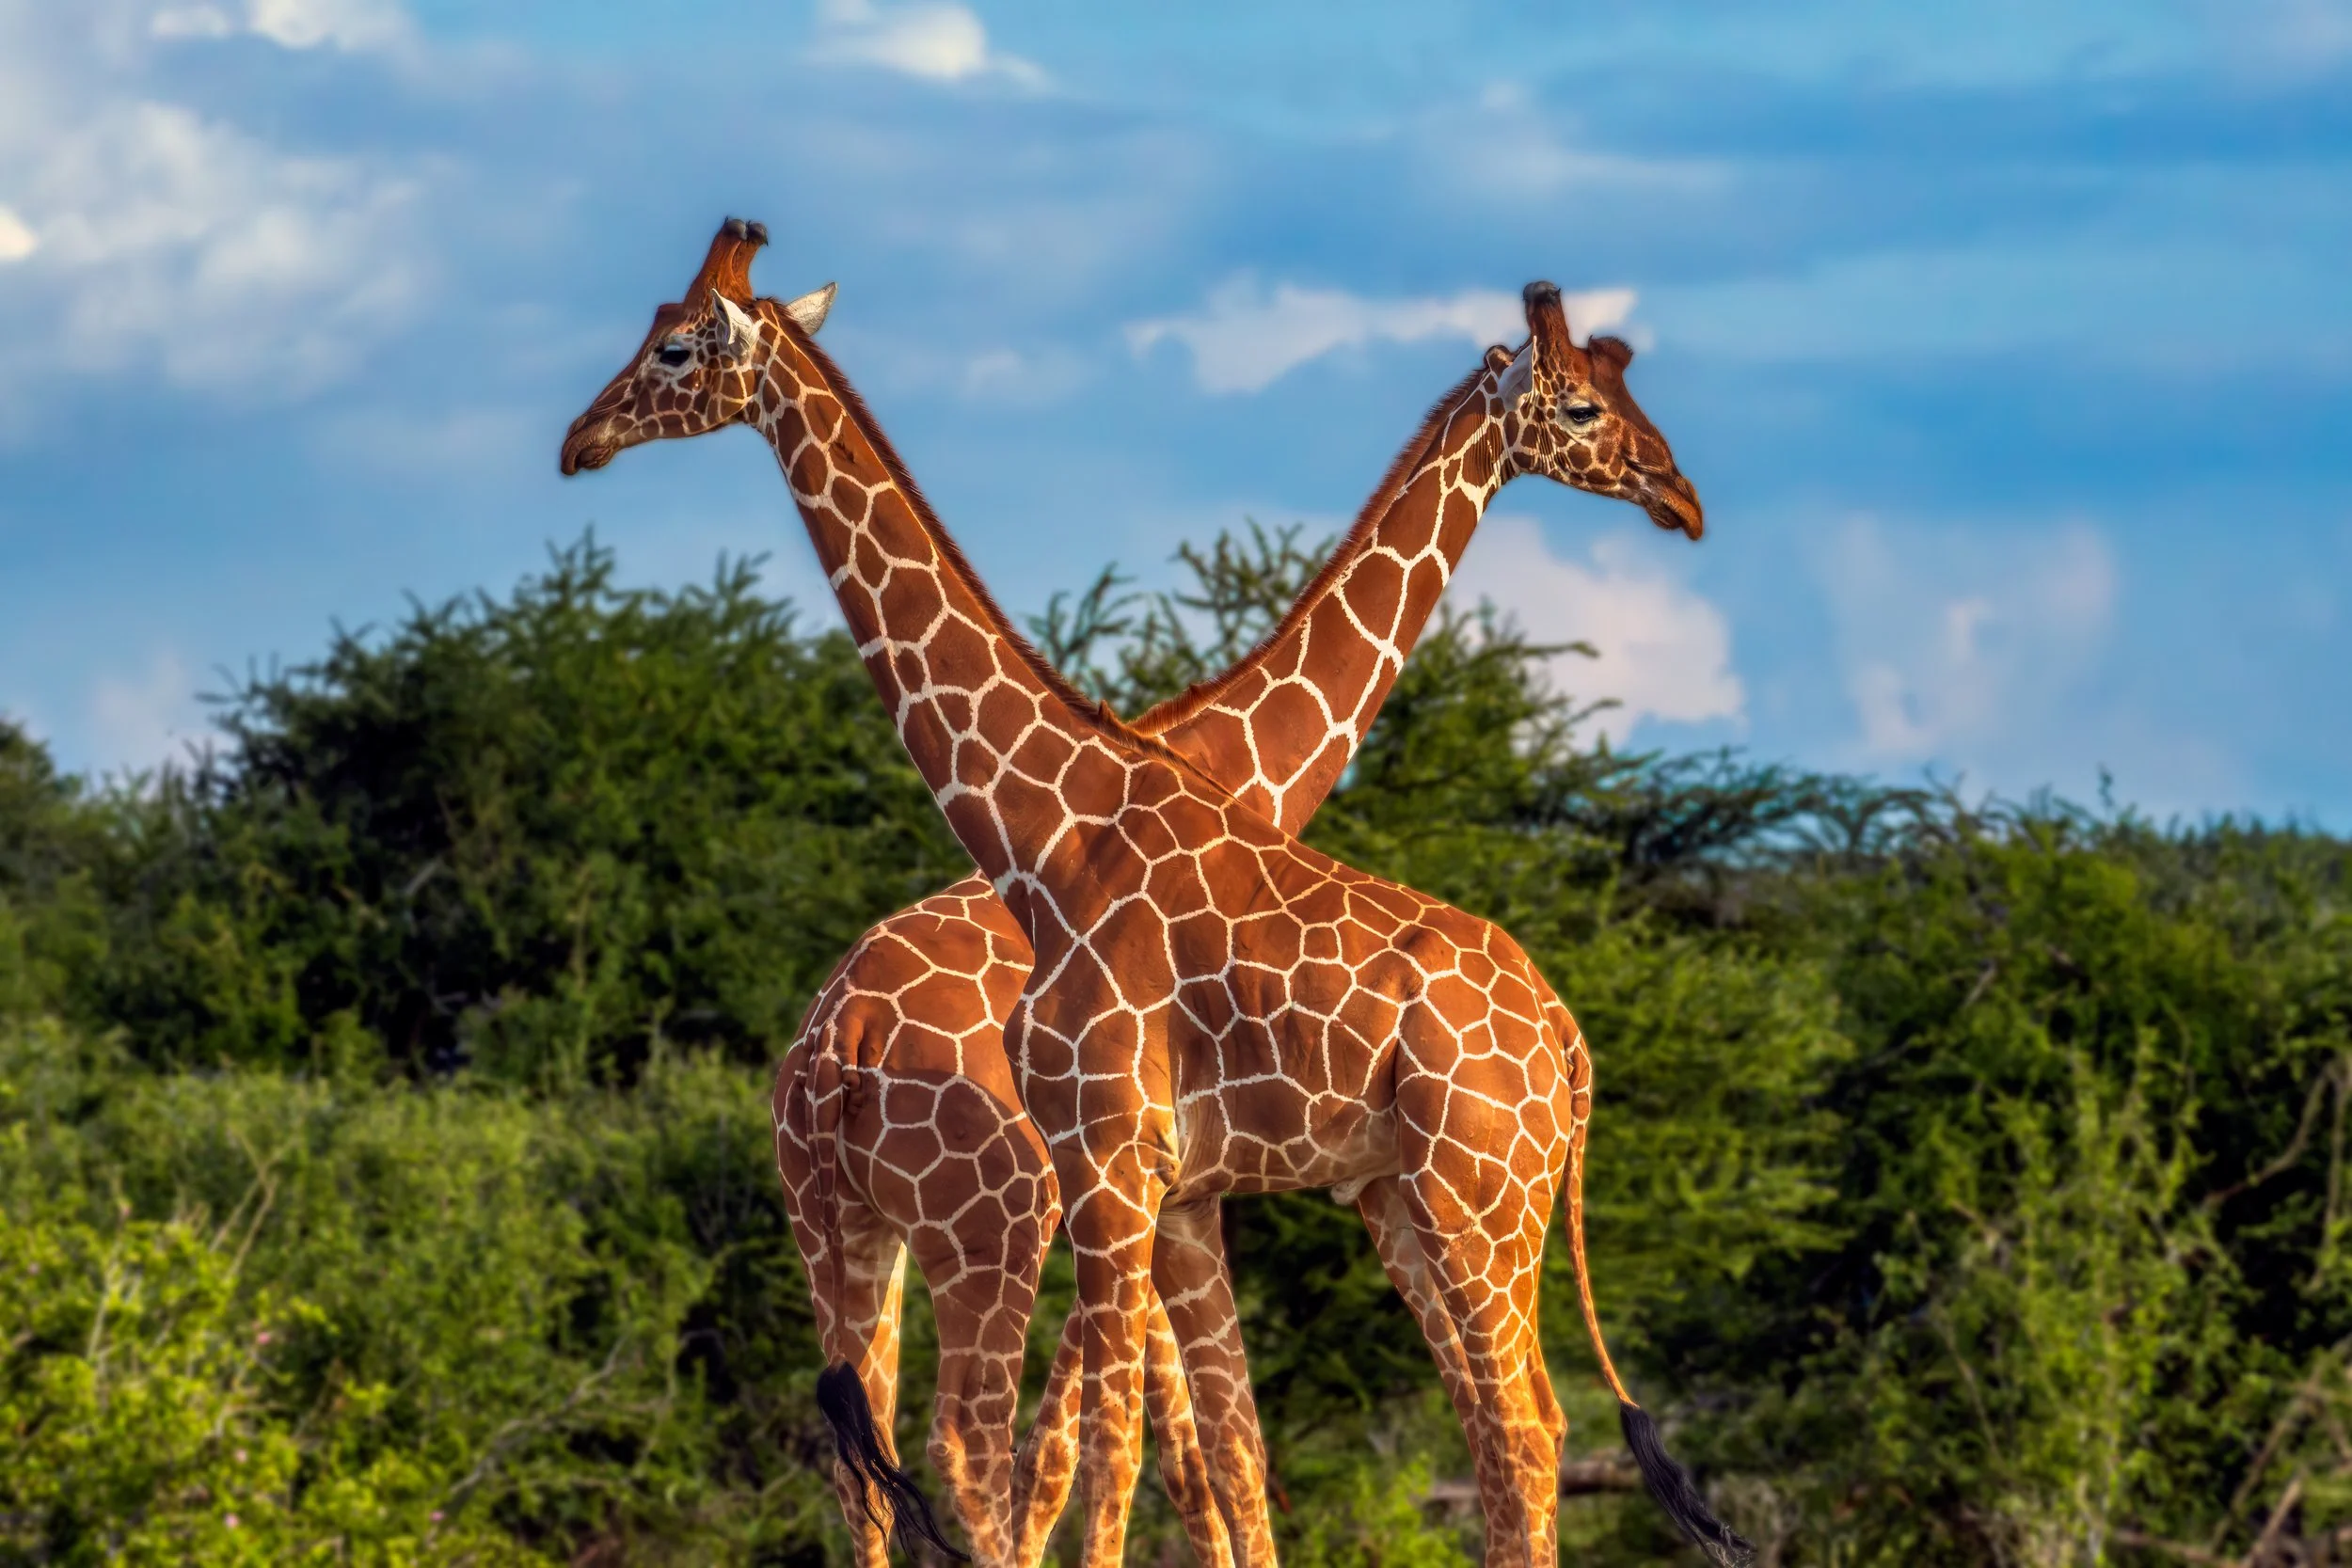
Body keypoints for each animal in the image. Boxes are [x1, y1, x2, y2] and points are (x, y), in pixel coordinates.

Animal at [559, 220, 1750, 1568]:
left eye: (674, 345)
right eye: (1583, 403)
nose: (1679, 494)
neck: (1059, 826)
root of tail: (1567, 1040)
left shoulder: (1130, 1172)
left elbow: (1139, 1452)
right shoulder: (1151, 1185)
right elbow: (1181, 1453)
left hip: (1434, 1198)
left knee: (1514, 1426)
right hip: (966, 1224)